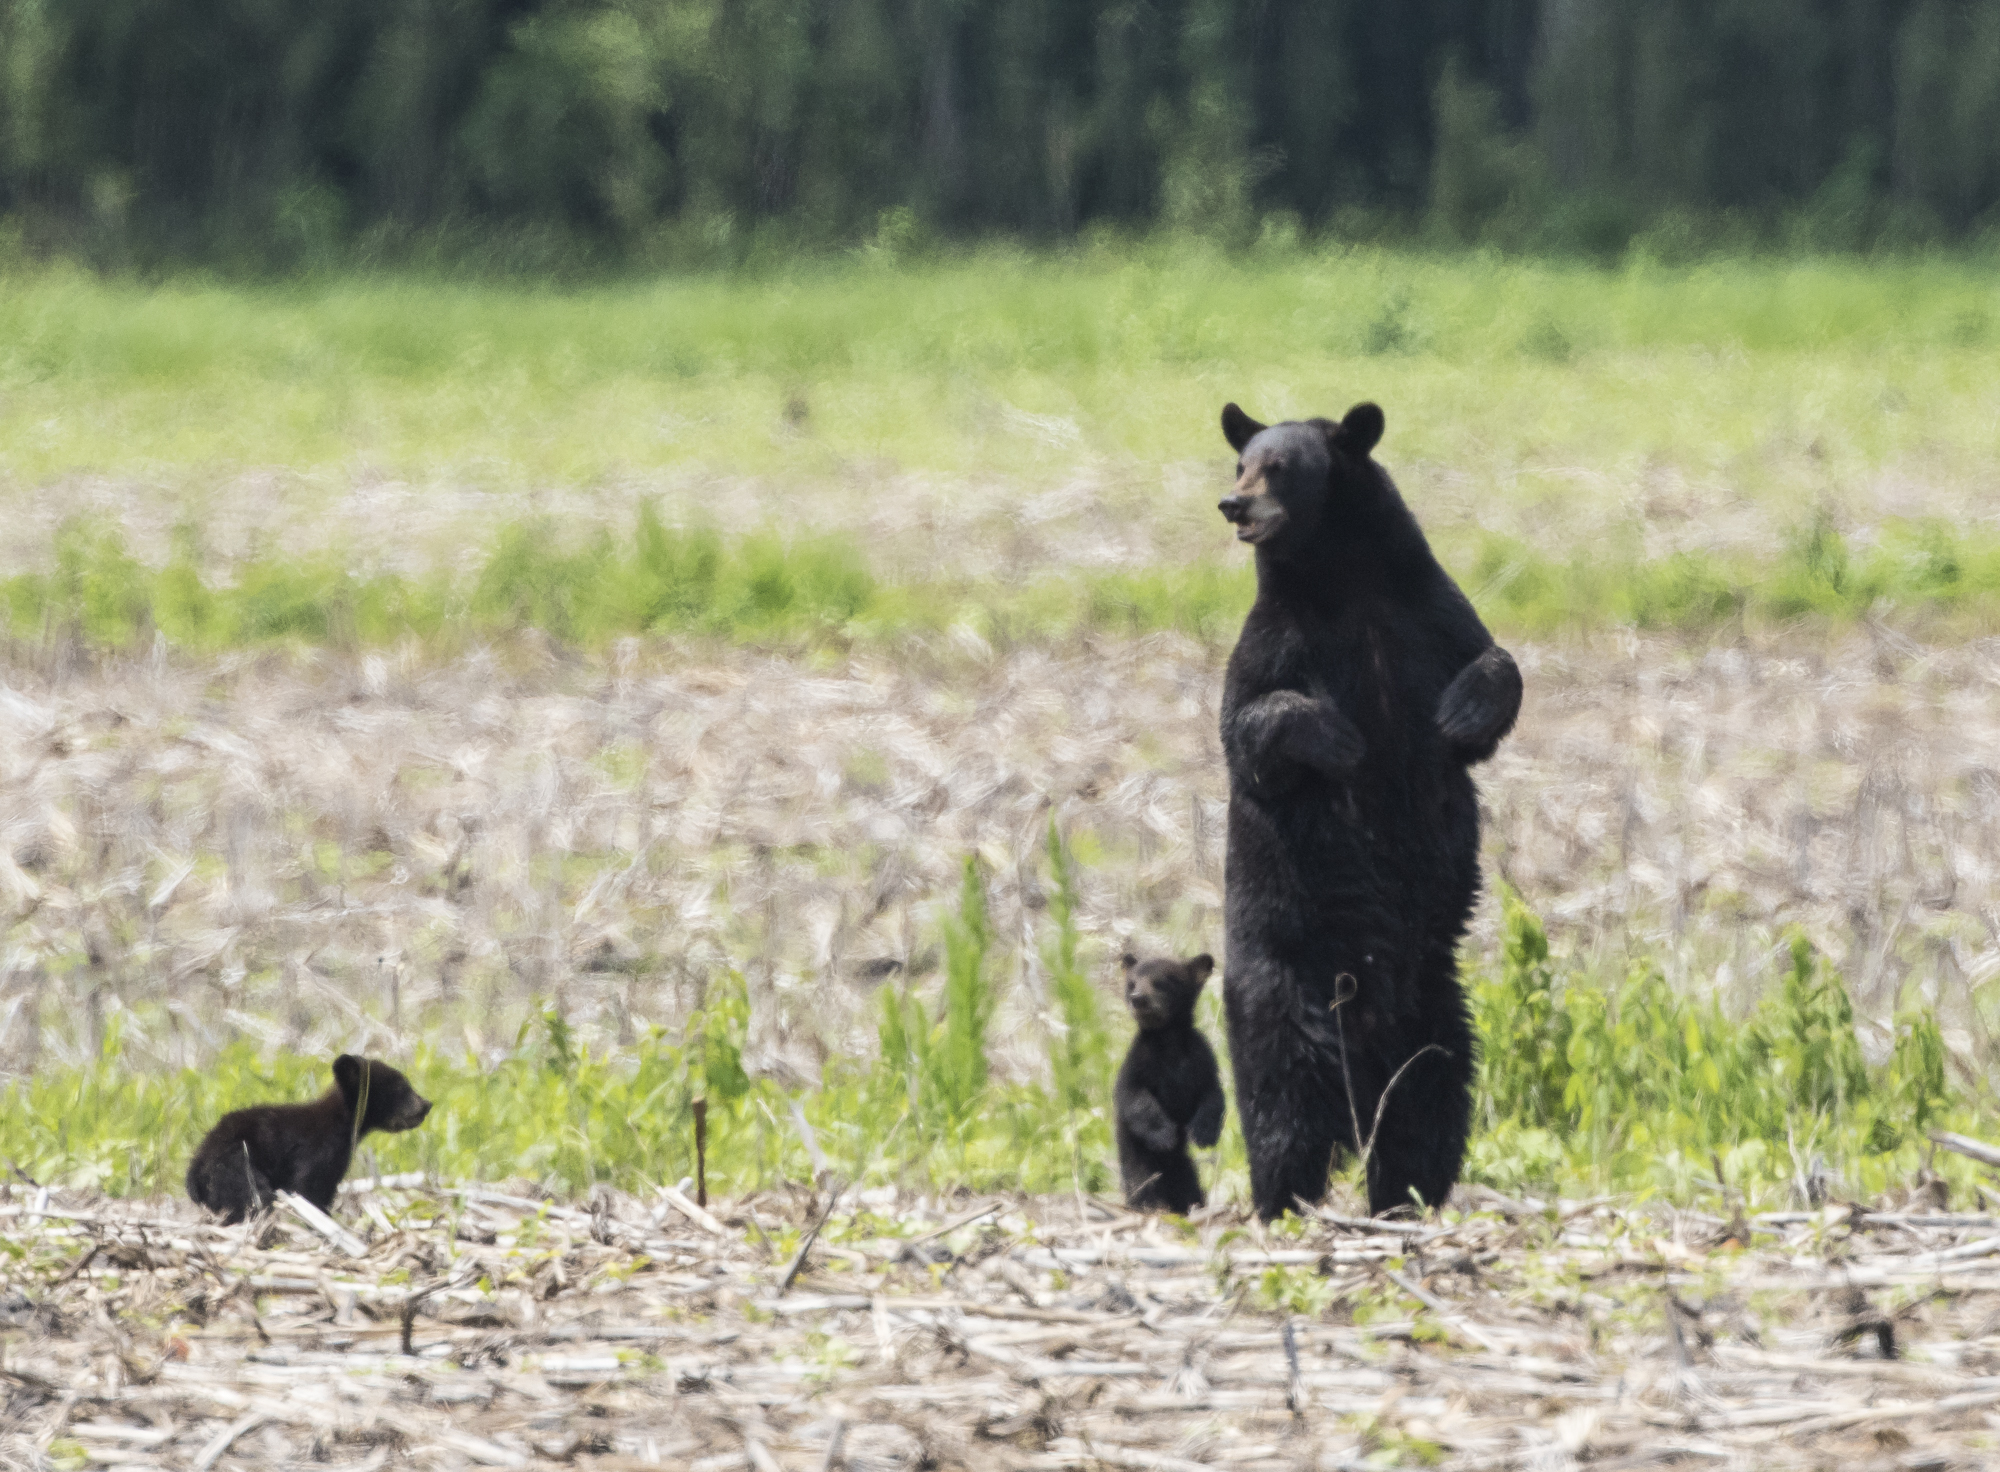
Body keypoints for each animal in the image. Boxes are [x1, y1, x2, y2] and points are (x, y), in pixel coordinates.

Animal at [186, 1054, 432, 1224]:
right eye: (401, 1087)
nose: (427, 1105)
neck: (341, 1121)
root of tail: (195, 1168)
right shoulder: (317, 1151)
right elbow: (308, 1189)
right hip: (234, 1168)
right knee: (253, 1196)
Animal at [1114, 951, 1226, 1214]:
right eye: (1131, 983)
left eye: (1162, 982)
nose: (1137, 999)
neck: (1168, 1040)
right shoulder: (1138, 1062)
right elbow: (1133, 1096)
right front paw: (1163, 1135)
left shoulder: (1201, 1058)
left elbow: (1213, 1095)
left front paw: (1203, 1133)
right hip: (1137, 1157)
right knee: (1142, 1180)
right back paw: (1149, 1204)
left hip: (1182, 1169)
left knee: (1187, 1184)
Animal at [1215, 399, 1520, 1220]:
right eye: (1240, 464)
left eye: (1278, 466)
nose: (1233, 505)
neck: (1343, 582)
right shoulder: (1272, 639)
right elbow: (1249, 725)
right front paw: (1339, 738)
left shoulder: (1427, 611)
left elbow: (1495, 662)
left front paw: (1459, 711)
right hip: (1281, 991)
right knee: (1281, 1110)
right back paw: (1286, 1201)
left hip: (1437, 1006)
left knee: (1431, 1101)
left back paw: (1407, 1196)